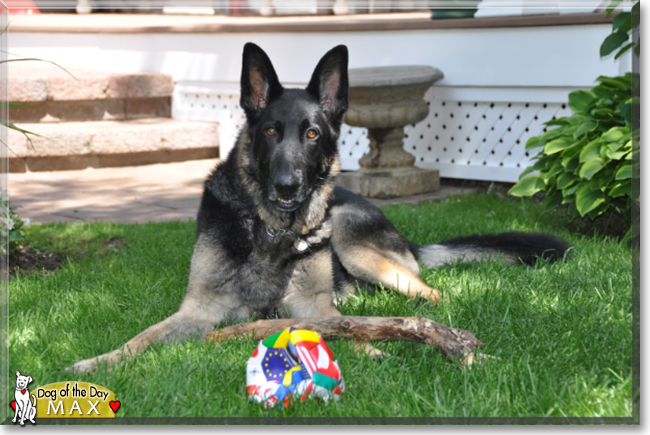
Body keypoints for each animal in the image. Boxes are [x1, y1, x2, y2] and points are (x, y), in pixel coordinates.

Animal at [72, 43, 568, 372]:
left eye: (312, 134)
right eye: (271, 131)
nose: (288, 186)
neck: (271, 230)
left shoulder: (311, 308)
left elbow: (346, 329)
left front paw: (374, 350)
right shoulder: (199, 310)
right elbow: (144, 337)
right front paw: (100, 361)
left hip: (352, 241)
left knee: (432, 293)